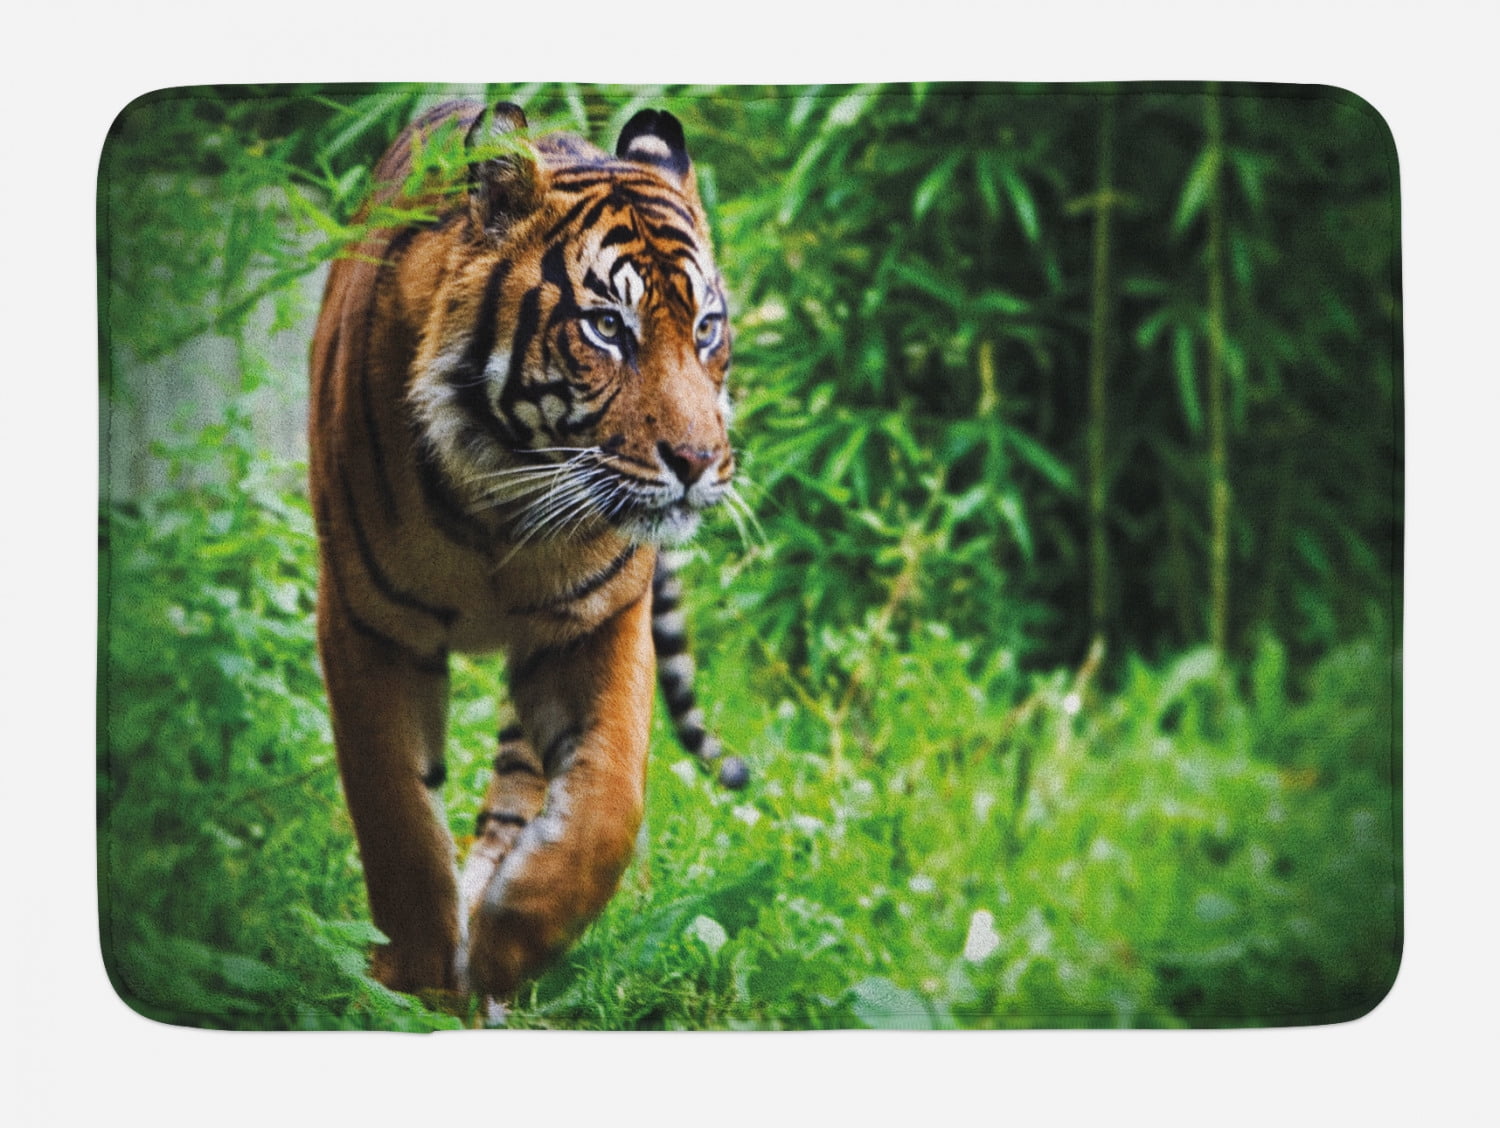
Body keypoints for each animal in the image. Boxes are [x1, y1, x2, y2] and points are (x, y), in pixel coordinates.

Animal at [308, 97, 747, 1001]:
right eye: (607, 327)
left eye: (707, 328)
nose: (698, 463)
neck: (503, 507)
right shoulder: (367, 626)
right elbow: (395, 812)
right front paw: (415, 980)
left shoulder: (599, 624)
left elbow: (607, 806)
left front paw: (509, 943)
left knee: (520, 788)